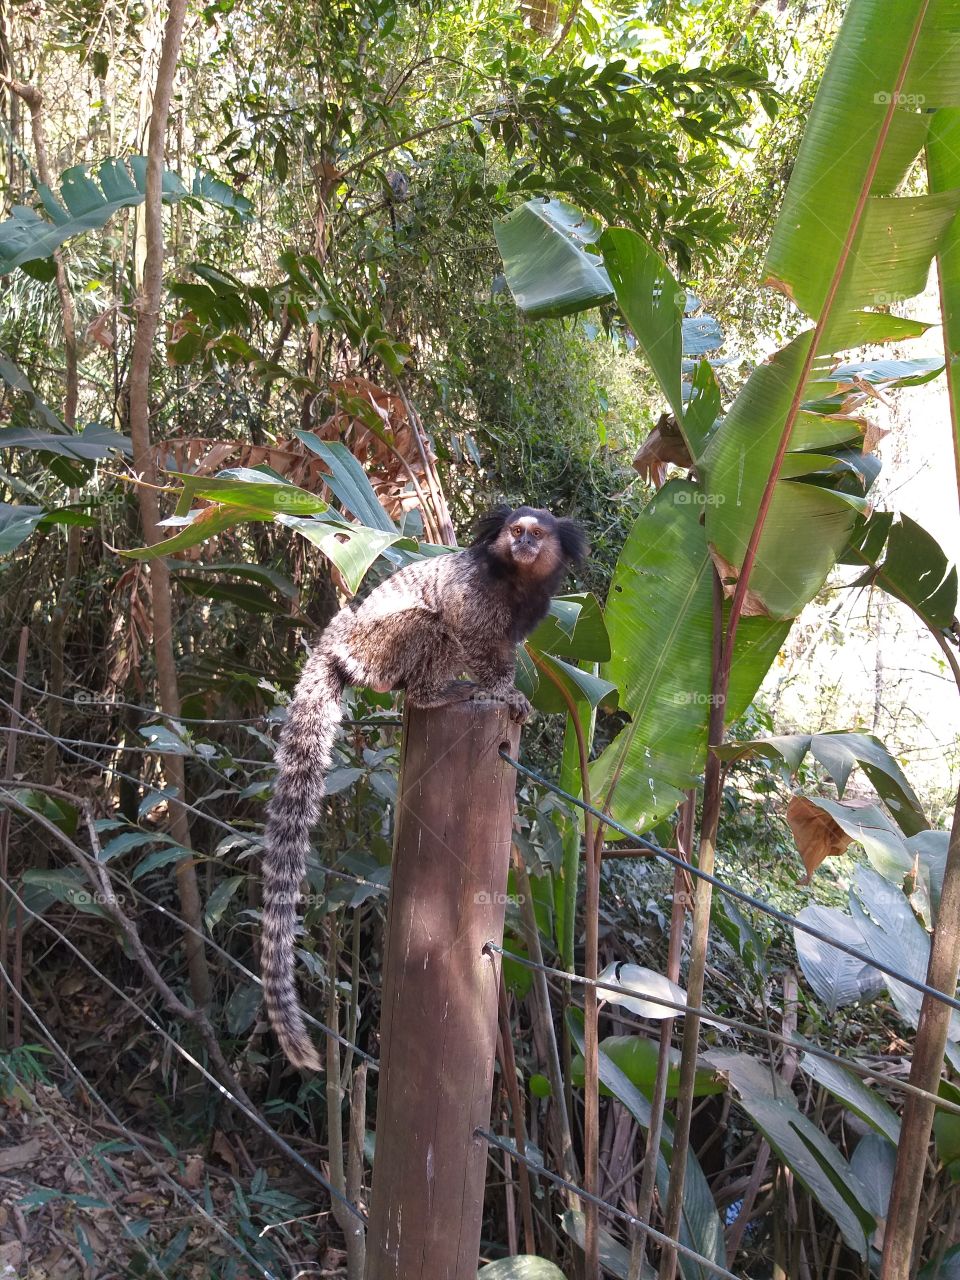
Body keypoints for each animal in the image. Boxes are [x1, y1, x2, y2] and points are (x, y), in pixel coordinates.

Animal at [260, 505, 587, 1069]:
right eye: (515, 532)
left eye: (536, 535)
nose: (523, 544)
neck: (515, 581)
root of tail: (335, 646)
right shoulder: (472, 600)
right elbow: (466, 631)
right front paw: (504, 693)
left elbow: (503, 648)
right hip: (378, 648)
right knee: (431, 625)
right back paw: (430, 694)